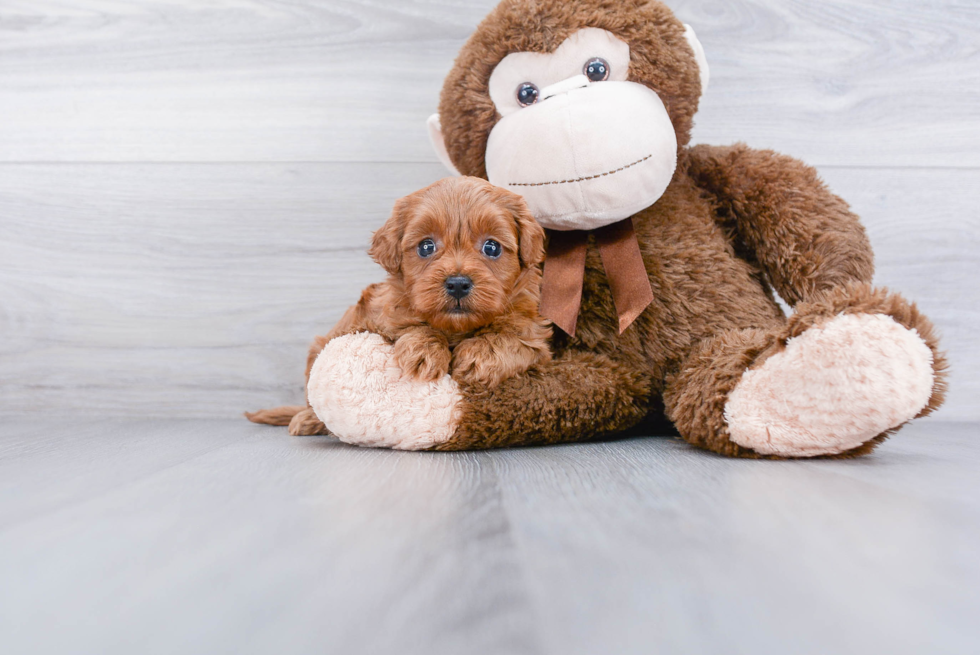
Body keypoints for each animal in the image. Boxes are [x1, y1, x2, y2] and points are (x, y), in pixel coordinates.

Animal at [245, 177, 552, 438]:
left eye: (492, 247)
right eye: (426, 247)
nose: (457, 284)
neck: (455, 328)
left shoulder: (534, 336)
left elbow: (512, 336)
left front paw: (479, 356)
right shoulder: (380, 313)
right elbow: (409, 324)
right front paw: (425, 351)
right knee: (312, 403)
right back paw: (308, 420)